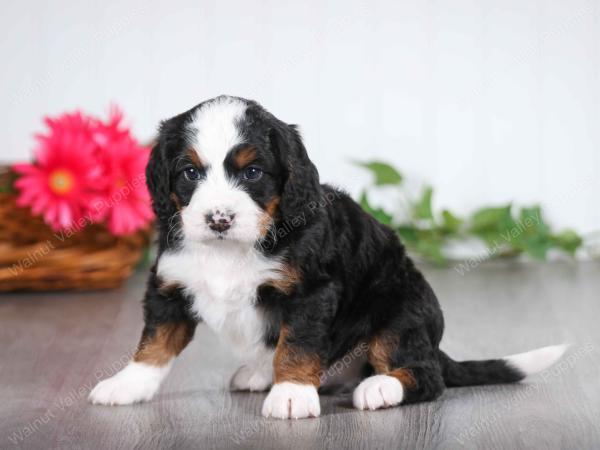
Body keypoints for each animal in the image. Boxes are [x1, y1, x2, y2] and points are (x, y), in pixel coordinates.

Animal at [89, 96, 568, 420]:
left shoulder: (311, 292)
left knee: (426, 376)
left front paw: (291, 394)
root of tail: (435, 345)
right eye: (189, 173)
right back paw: (261, 373)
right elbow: (154, 343)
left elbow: (298, 344)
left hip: (401, 311)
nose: (219, 219)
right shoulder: (170, 286)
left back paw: (378, 388)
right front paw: (126, 385)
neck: (231, 249)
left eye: (252, 173)